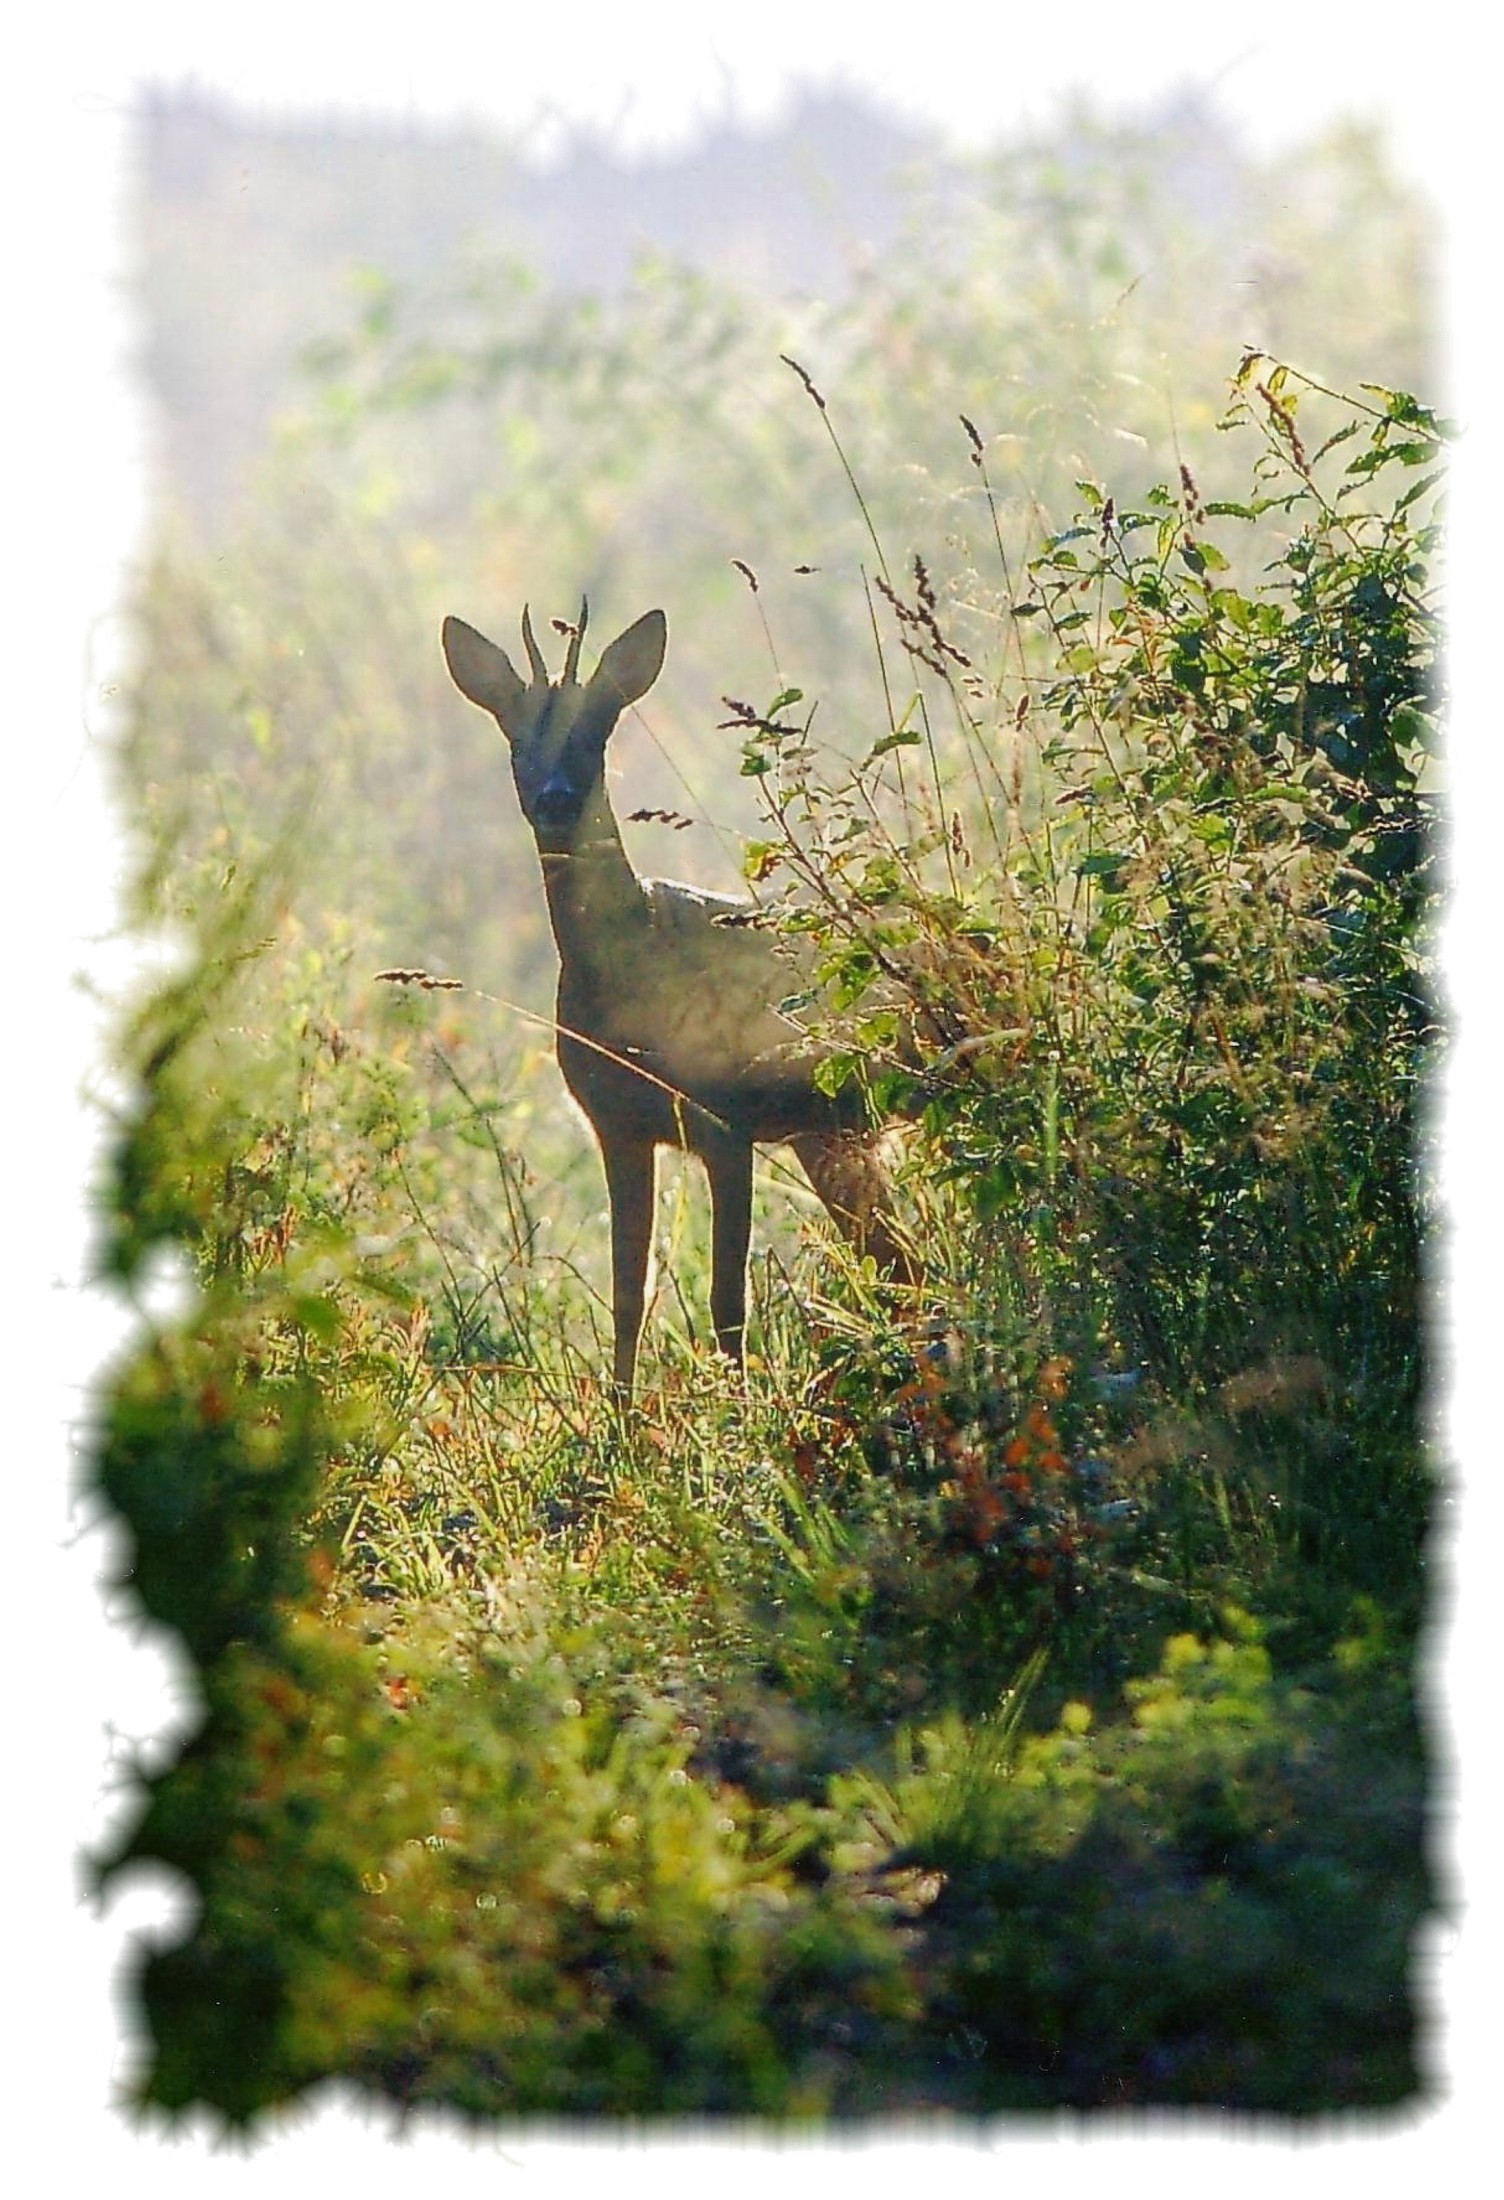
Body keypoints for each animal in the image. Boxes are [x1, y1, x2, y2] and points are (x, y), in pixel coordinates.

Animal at [439, 598, 910, 1390]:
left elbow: (727, 1305)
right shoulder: (618, 1125)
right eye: (514, 735)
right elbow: (628, 1297)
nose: (555, 800)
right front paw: (619, 1420)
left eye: (598, 731)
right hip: (830, 1134)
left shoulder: (724, 1121)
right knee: (899, 1262)